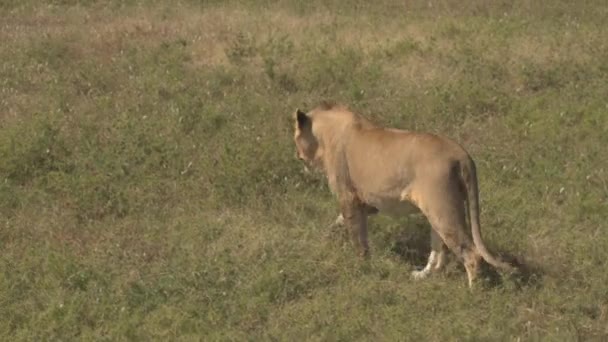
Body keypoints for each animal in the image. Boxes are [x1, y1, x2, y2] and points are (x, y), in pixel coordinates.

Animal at [292, 102, 516, 288]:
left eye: (295, 137)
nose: (297, 155)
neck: (326, 135)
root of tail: (462, 154)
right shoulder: (367, 203)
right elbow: (344, 223)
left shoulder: (349, 197)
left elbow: (357, 236)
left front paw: (361, 265)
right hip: (437, 211)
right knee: (439, 253)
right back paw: (422, 275)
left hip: (443, 210)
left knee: (471, 254)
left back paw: (472, 292)